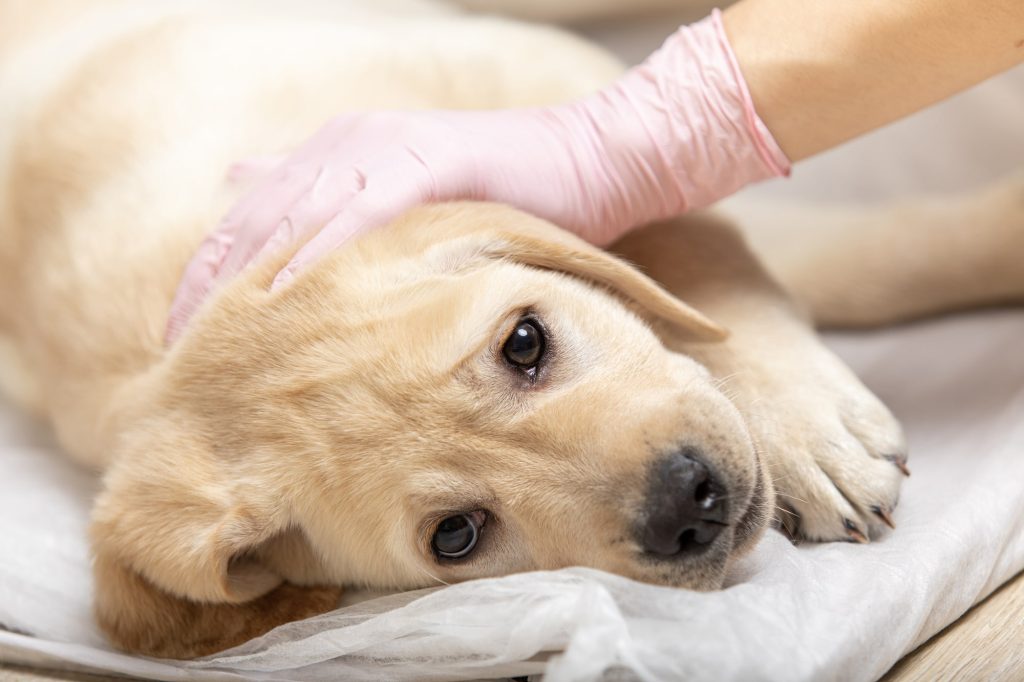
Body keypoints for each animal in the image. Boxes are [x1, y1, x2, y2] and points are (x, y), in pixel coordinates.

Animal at [4, 0, 1019, 659]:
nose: (686, 505)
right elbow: (846, 263)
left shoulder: (536, 82)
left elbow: (711, 262)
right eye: (457, 536)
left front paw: (807, 429)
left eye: (524, 344)